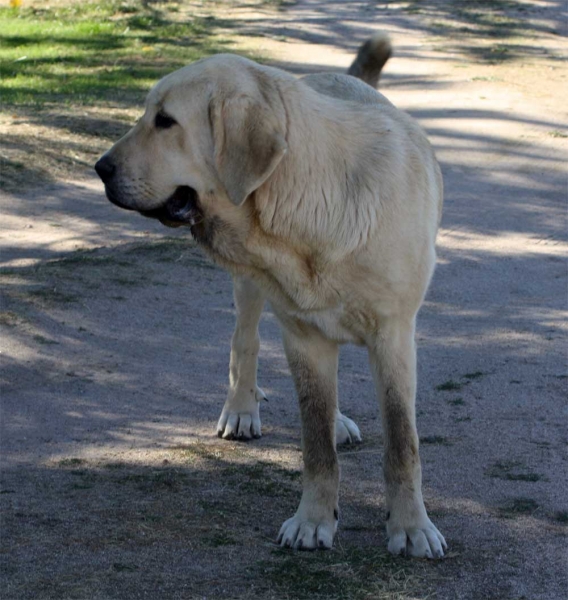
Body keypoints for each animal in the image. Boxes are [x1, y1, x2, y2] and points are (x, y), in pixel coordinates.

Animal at [95, 34, 446, 556]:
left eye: (165, 121)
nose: (99, 168)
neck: (312, 201)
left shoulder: (394, 336)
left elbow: (402, 443)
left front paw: (411, 528)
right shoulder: (302, 337)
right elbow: (315, 444)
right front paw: (314, 520)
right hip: (251, 289)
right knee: (245, 343)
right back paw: (241, 409)